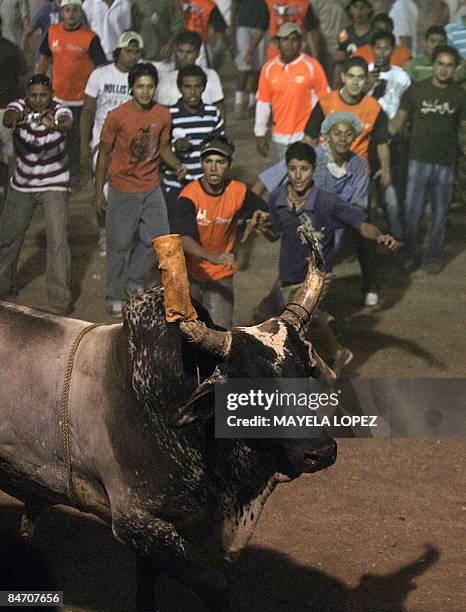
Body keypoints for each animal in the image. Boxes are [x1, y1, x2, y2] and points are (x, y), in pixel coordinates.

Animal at [0, 228, 336, 608]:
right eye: (250, 383)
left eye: (304, 369)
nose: (320, 453)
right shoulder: (137, 523)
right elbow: (216, 584)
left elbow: (147, 585)